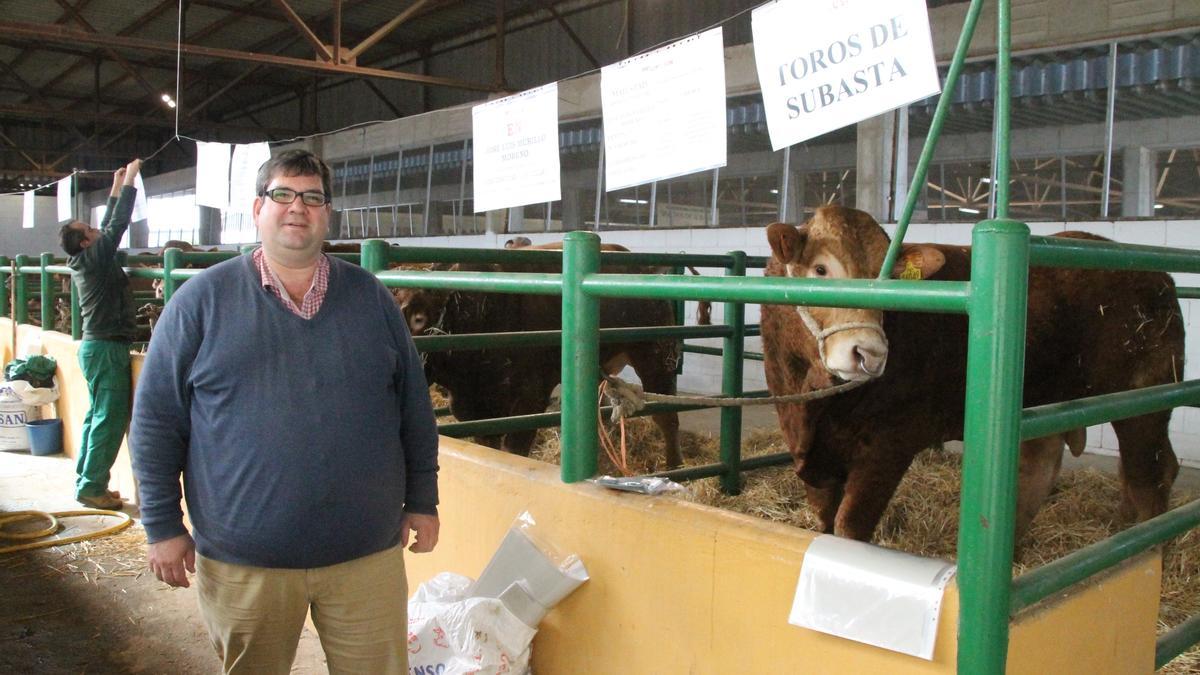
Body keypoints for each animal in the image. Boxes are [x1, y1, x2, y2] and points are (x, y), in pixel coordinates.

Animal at [758, 205, 1180, 540]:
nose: (870, 353)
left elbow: (849, 529)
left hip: (1146, 398)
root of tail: (1157, 275)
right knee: (1043, 467)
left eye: (889, 279)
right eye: (820, 268)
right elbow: (824, 525)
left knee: (1150, 474)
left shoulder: (887, 447)